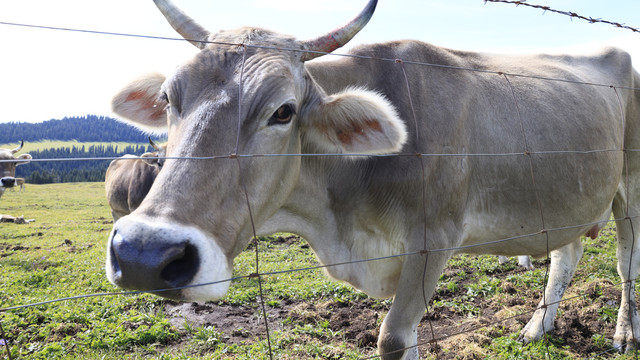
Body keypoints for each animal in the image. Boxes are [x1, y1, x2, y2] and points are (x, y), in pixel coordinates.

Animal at [104, 0, 640, 358]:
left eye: (283, 111)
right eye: (169, 98)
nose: (144, 255)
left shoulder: (433, 240)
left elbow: (394, 339)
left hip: (631, 189)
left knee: (624, 264)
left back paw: (624, 333)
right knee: (567, 253)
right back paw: (537, 327)